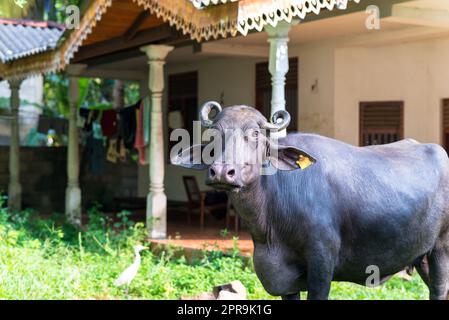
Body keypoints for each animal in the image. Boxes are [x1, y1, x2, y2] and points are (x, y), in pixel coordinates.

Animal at [171, 102, 448, 300]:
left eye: (255, 134)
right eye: (215, 135)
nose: (221, 172)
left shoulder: (322, 265)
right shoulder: (283, 279)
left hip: (441, 249)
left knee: (438, 290)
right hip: (422, 256)